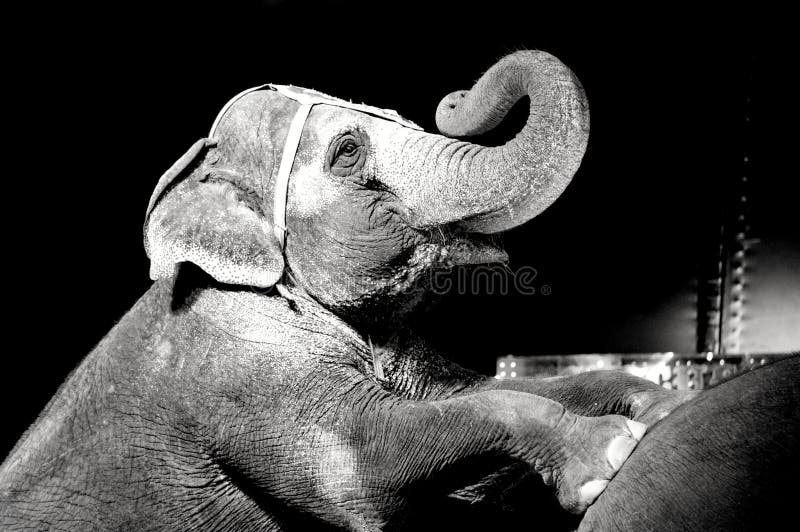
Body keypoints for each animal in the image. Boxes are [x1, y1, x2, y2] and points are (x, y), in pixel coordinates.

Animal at [1, 51, 694, 531]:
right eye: (348, 152)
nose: (454, 98)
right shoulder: (235, 366)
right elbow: (362, 471)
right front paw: (608, 455)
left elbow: (474, 394)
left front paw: (660, 407)